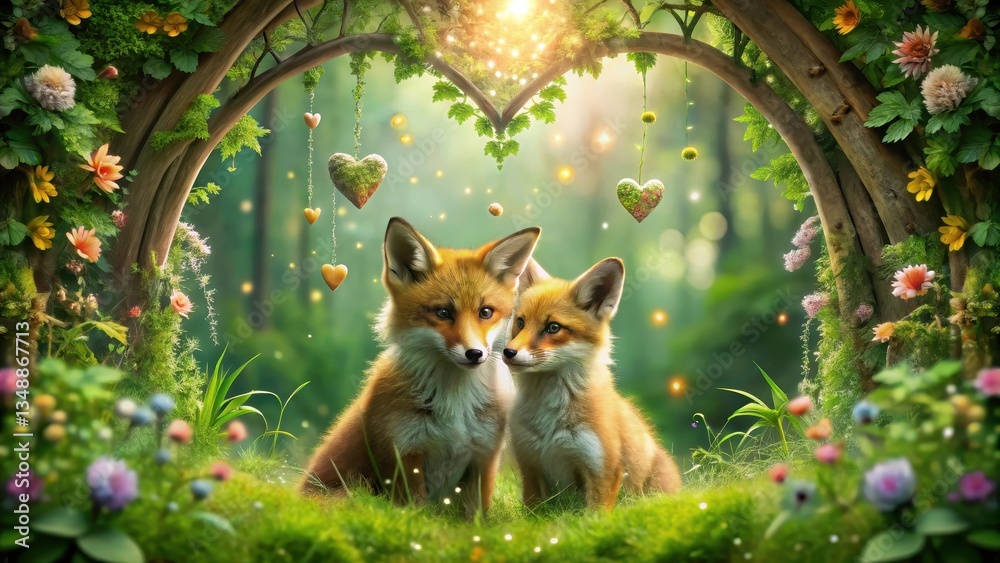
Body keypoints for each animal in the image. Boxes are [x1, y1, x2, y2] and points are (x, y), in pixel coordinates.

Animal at [300, 217, 540, 517]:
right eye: (443, 313)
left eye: (485, 312)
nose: (475, 354)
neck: (454, 404)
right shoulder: (405, 454)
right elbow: (416, 513)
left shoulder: (484, 455)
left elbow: (475, 516)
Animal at [503, 258, 681, 510]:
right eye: (520, 322)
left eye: (553, 327)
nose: (508, 353)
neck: (549, 420)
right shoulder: (530, 466)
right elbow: (533, 513)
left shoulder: (601, 468)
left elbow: (595, 515)